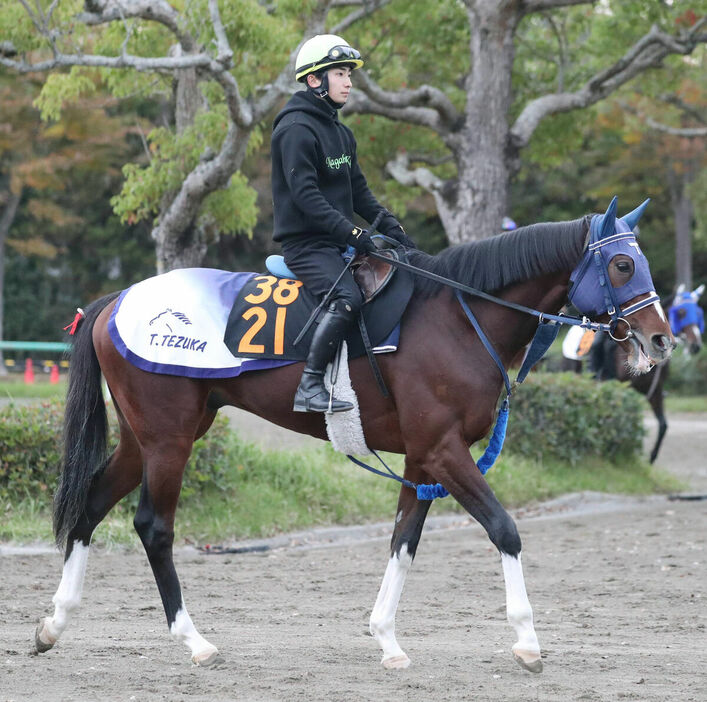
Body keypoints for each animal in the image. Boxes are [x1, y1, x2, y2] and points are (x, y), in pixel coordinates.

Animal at [34, 199, 676, 676]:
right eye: (622, 266)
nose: (661, 339)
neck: (457, 317)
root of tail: (115, 300)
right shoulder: (445, 453)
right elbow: (504, 529)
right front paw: (526, 640)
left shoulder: (422, 460)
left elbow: (403, 542)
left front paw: (387, 639)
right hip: (169, 442)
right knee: (154, 527)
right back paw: (194, 640)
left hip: (147, 438)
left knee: (90, 504)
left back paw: (55, 623)